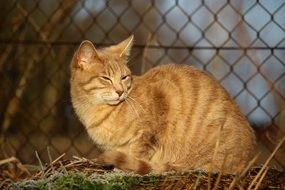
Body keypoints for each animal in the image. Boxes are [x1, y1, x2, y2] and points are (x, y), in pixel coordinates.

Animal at [70, 35, 255, 174]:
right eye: (105, 78)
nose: (120, 91)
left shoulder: (148, 133)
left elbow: (137, 155)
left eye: (124, 77)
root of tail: (247, 161)